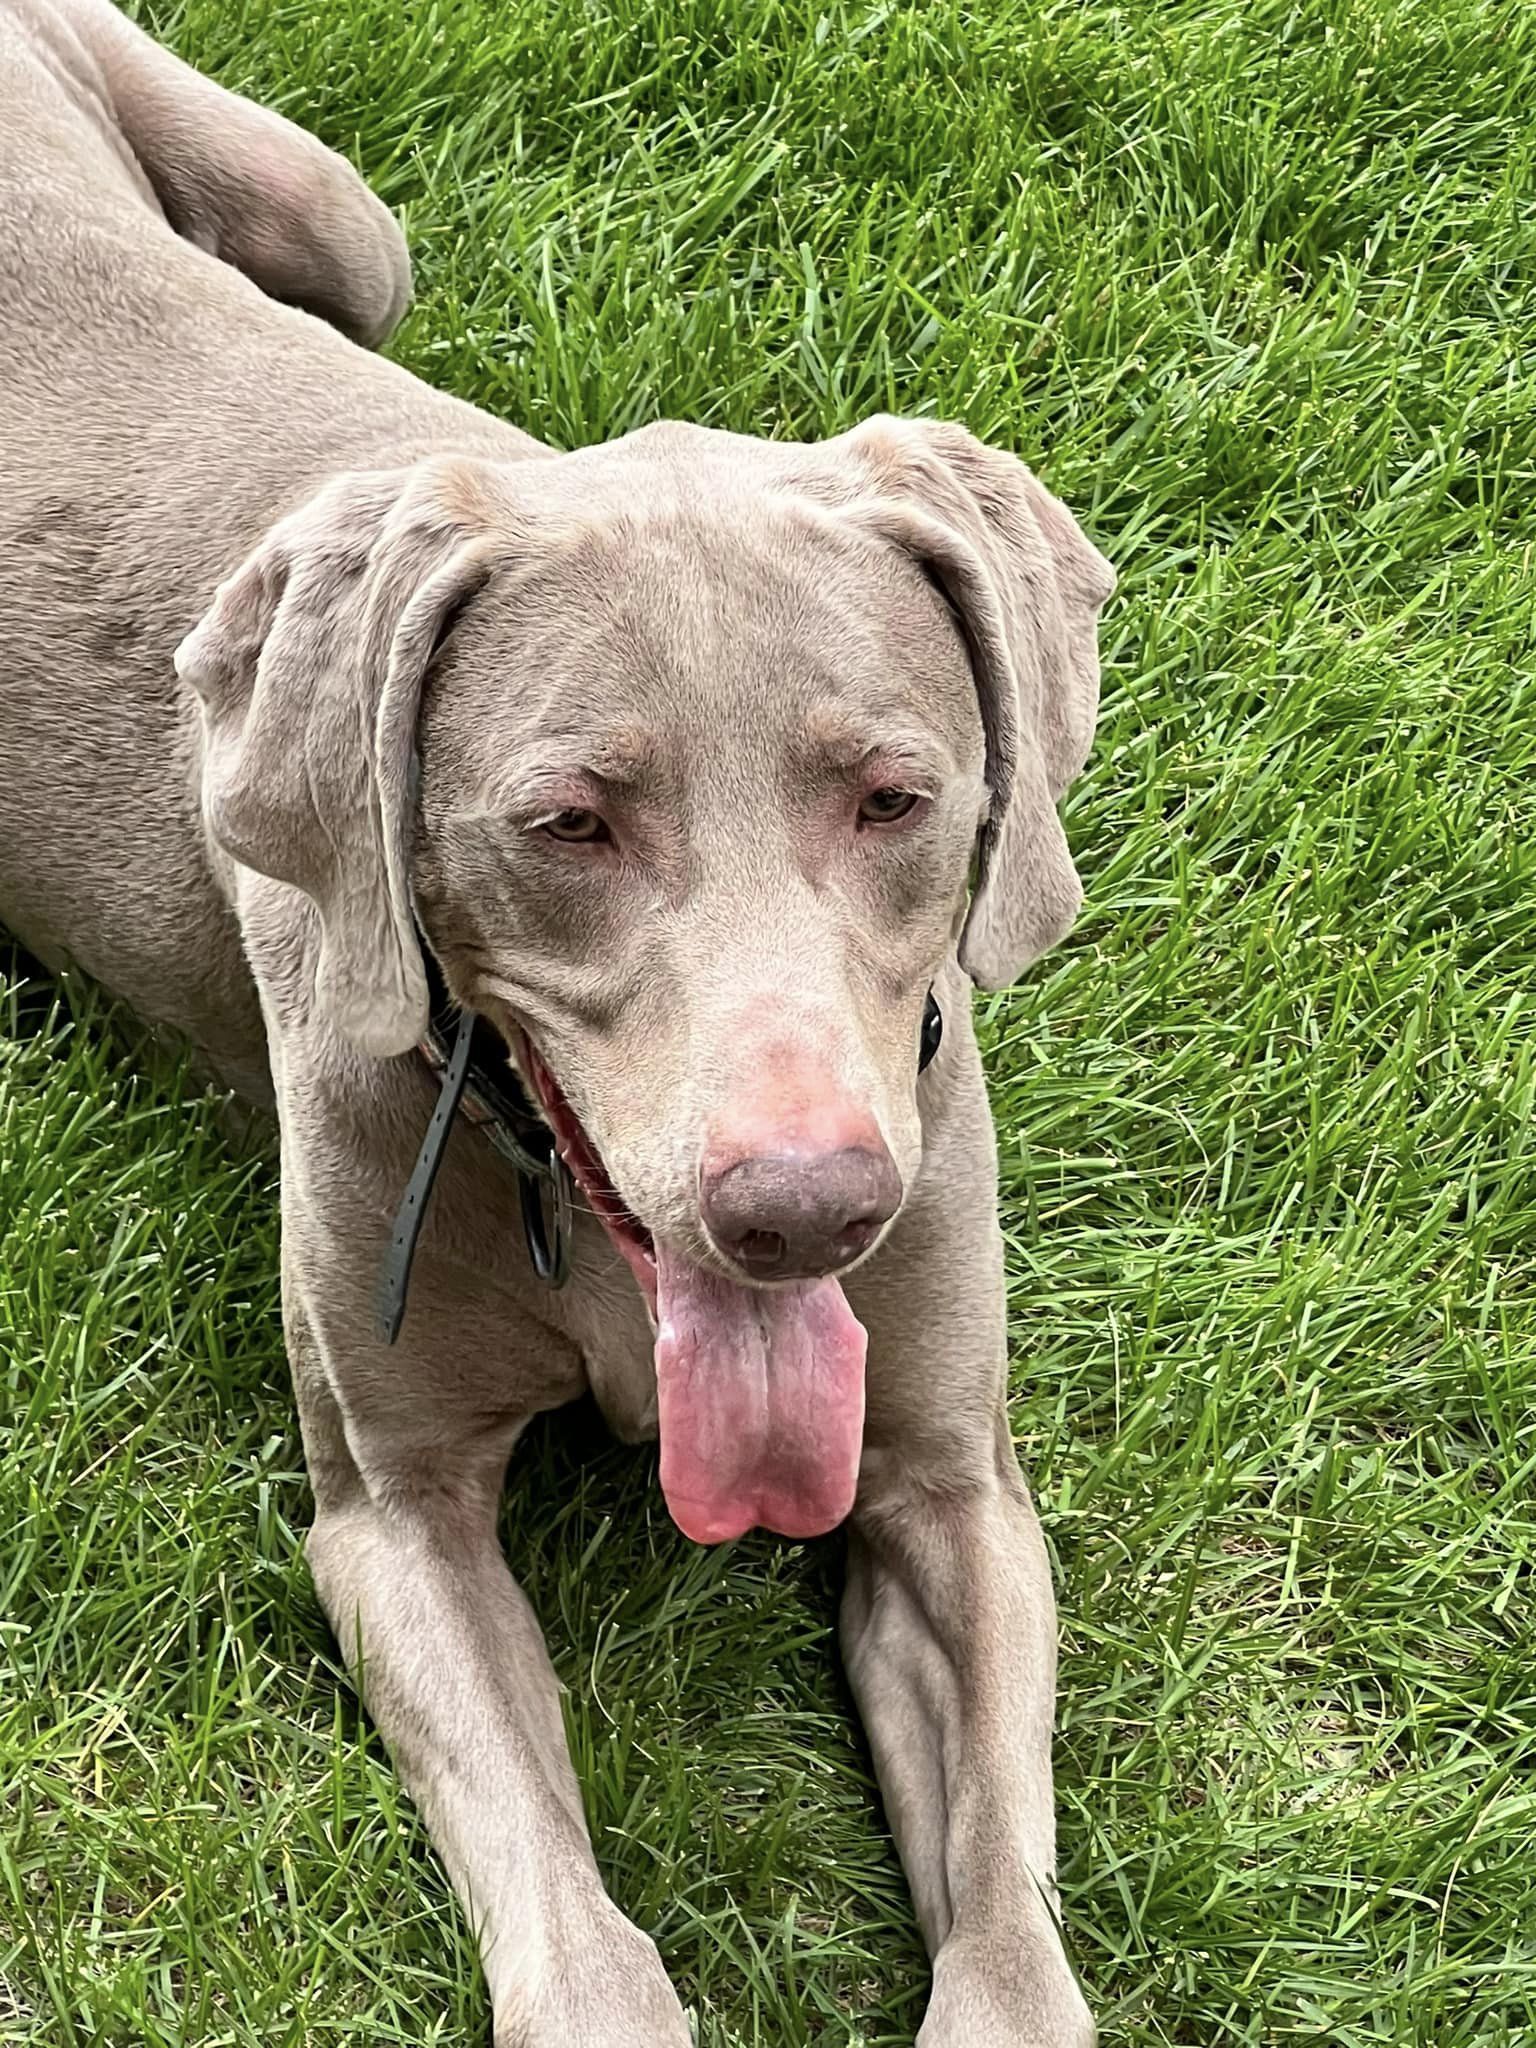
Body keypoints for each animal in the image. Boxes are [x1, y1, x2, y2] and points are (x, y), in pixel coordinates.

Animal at [0, 4, 1122, 2048]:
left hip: (343, 227)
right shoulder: (394, 1519)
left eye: (895, 799)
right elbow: (574, 1928)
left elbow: (1010, 1943)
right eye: (568, 823)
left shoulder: (952, 1487)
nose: (804, 1213)